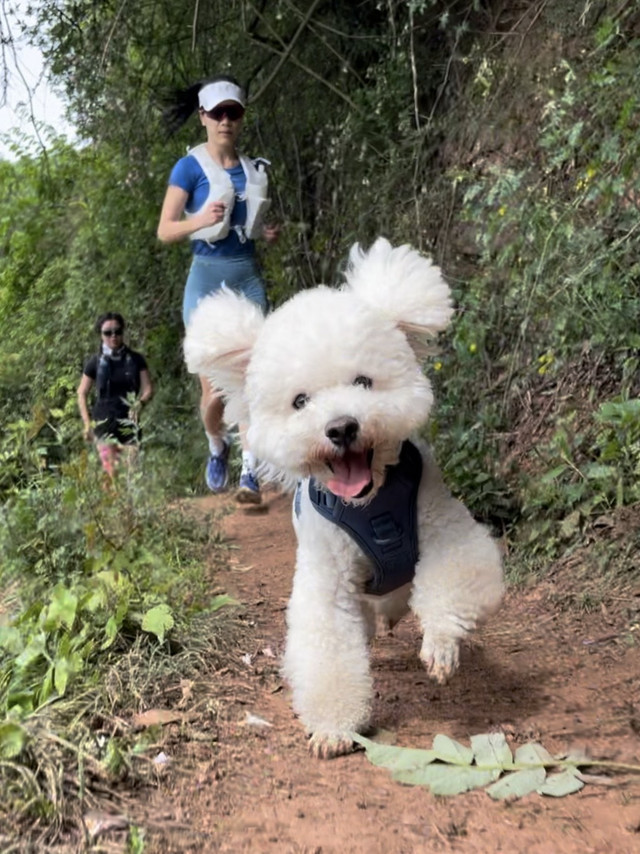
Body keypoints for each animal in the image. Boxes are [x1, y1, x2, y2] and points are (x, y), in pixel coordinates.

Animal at [184, 237, 504, 760]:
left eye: (363, 381)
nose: (341, 427)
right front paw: (335, 728)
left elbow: (453, 579)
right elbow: (330, 641)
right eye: (300, 401)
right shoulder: (327, 575)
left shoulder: (444, 526)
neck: (371, 504)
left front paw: (440, 643)